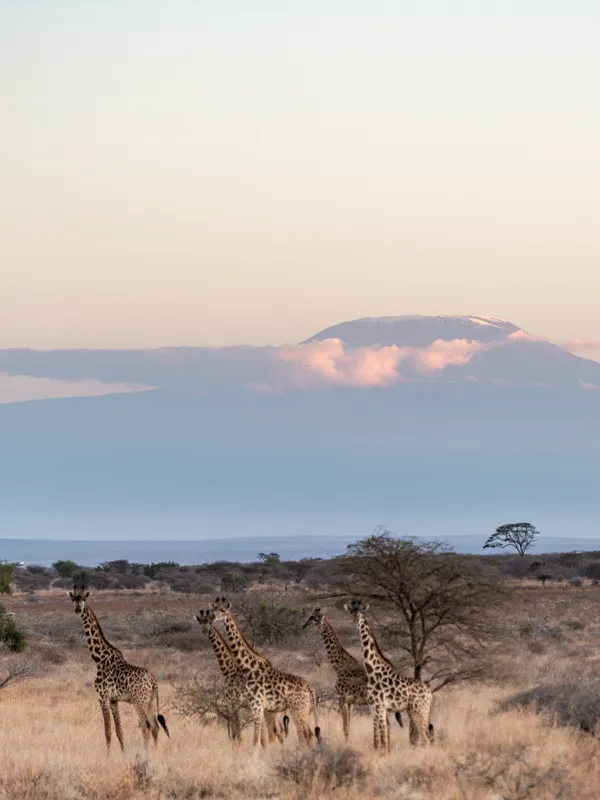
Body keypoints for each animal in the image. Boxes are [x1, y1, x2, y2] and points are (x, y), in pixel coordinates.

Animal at [69, 584, 170, 752]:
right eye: (73, 599)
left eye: (84, 599)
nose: (77, 608)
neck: (99, 658)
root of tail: (154, 682)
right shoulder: (113, 700)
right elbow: (118, 730)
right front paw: (122, 753)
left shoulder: (102, 697)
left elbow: (107, 731)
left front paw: (108, 755)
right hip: (149, 702)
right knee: (155, 726)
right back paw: (155, 752)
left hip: (139, 702)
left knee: (146, 727)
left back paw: (146, 753)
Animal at [192, 608, 286, 748]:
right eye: (200, 623)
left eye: (208, 623)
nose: (204, 631)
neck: (228, 670)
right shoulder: (230, 702)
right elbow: (234, 730)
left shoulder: (234, 701)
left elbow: (237, 730)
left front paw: (238, 747)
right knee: (276, 731)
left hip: (270, 710)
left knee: (277, 731)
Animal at [209, 596, 318, 748]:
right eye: (213, 608)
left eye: (223, 610)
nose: (211, 618)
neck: (248, 667)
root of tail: (308, 687)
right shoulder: (256, 707)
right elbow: (260, 738)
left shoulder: (256, 706)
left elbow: (257, 739)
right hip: (302, 709)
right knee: (305, 734)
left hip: (297, 709)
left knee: (302, 736)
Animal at [304, 608, 404, 740]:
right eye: (310, 616)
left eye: (314, 618)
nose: (304, 626)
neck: (338, 665)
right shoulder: (350, 701)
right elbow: (349, 727)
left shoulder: (341, 697)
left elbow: (345, 728)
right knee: (387, 724)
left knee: (386, 724)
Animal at [344, 596, 434, 752]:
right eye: (351, 611)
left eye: (360, 612)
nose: (355, 621)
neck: (371, 670)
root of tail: (429, 693)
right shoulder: (374, 707)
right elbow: (379, 739)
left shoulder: (380, 706)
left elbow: (384, 738)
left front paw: (384, 755)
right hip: (416, 711)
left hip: (419, 711)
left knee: (427, 739)